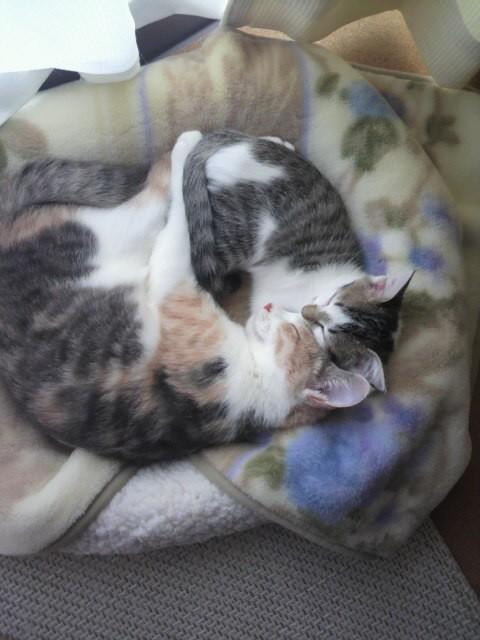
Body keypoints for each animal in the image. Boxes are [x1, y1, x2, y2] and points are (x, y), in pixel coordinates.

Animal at [0, 132, 371, 463]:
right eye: (295, 318)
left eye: (294, 329)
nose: (269, 307)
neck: (255, 394)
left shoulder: (173, 285)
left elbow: (177, 229)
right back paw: (269, 142)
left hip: (124, 226)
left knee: (160, 186)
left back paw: (188, 143)